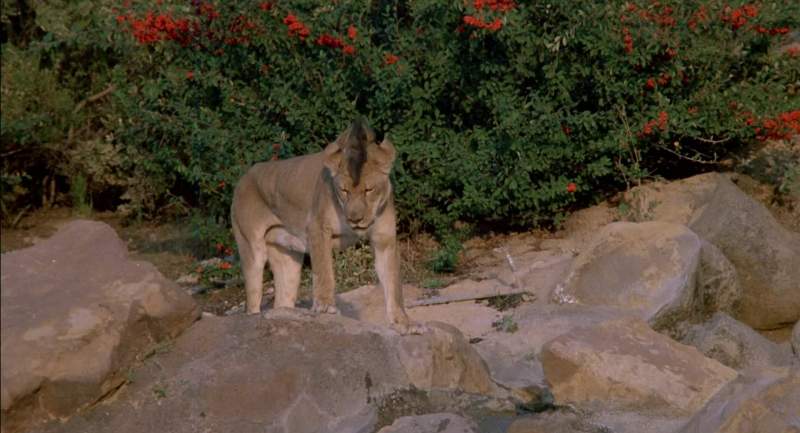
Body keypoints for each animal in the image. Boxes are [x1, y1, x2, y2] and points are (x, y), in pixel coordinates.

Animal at [231, 119, 425, 334]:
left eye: (369, 190)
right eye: (344, 190)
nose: (355, 219)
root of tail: (244, 176)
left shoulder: (385, 239)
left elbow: (393, 284)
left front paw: (404, 323)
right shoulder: (317, 228)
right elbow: (324, 271)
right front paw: (325, 306)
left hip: (287, 261)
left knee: (282, 302)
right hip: (251, 249)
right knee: (252, 301)